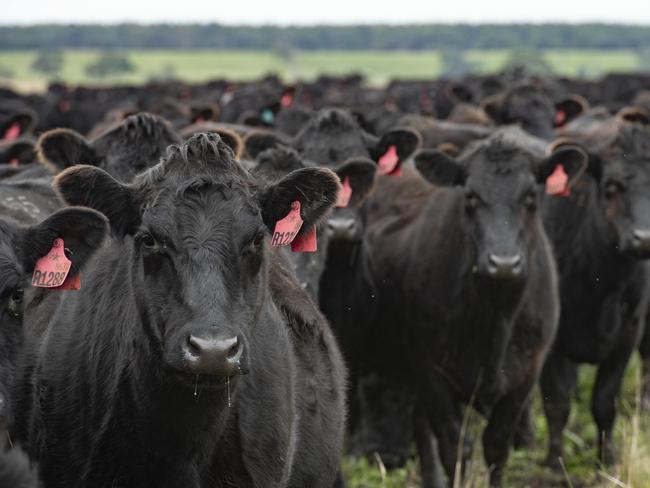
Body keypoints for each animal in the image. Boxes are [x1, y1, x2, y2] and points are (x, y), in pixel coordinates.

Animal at [364, 127, 588, 486]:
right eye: (470, 196)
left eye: (531, 196)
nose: (503, 263)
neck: (498, 316)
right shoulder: (432, 371)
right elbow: (454, 446)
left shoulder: (525, 375)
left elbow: (496, 447)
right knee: (422, 426)